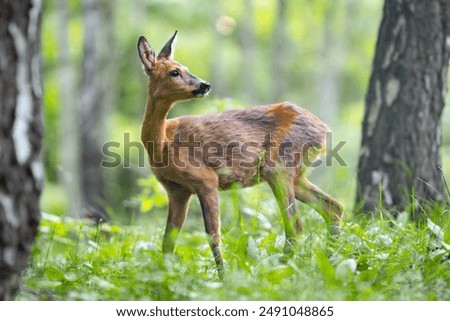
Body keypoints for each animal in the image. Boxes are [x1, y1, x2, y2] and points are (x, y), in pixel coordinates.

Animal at [137, 31, 342, 278]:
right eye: (174, 72)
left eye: (185, 68)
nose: (204, 85)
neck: (164, 144)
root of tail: (324, 129)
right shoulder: (177, 190)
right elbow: (168, 241)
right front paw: (163, 277)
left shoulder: (206, 179)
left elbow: (213, 235)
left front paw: (223, 278)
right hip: (297, 175)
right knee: (333, 207)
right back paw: (329, 260)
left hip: (278, 166)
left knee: (295, 224)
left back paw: (277, 270)